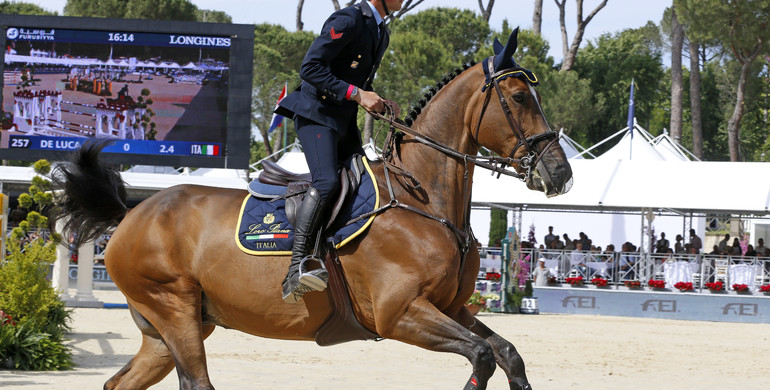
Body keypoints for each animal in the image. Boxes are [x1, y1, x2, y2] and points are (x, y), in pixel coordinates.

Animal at [54, 29, 568, 390]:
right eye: (519, 97)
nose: (560, 174)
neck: (422, 201)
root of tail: (132, 213)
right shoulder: (401, 313)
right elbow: (482, 355)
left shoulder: (451, 307)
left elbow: (507, 352)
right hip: (173, 309)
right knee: (195, 381)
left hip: (170, 331)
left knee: (118, 383)